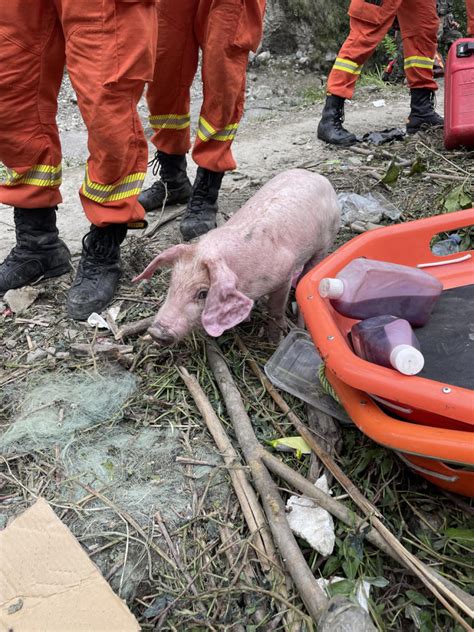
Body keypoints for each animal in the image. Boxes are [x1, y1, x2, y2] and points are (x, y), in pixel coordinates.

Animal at [133, 168, 340, 346]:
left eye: (203, 293)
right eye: (172, 282)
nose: (155, 332)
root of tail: (317, 176)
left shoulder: (284, 275)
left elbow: (276, 311)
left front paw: (275, 342)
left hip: (325, 243)